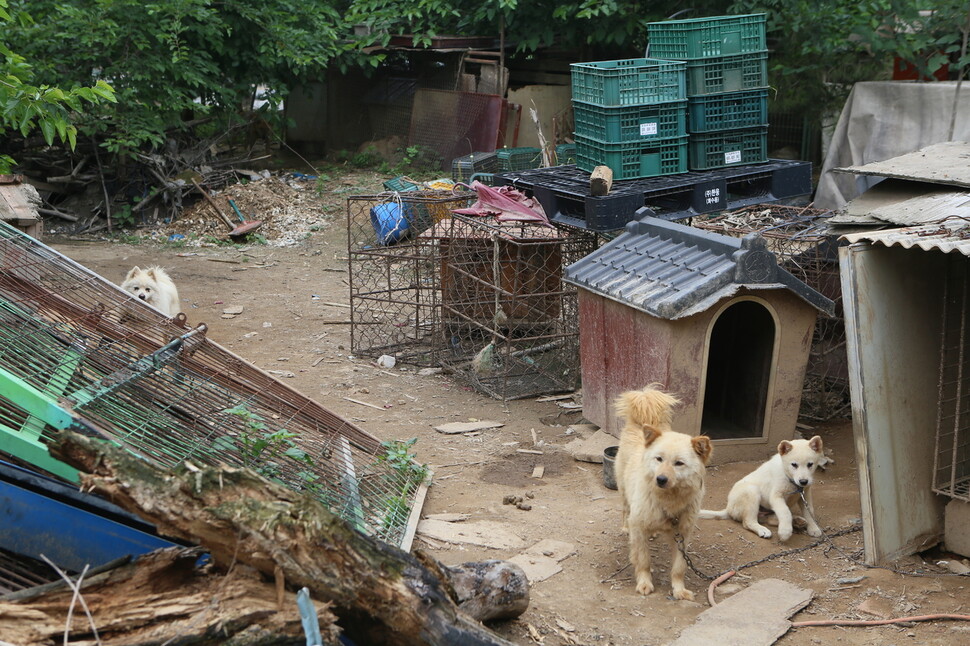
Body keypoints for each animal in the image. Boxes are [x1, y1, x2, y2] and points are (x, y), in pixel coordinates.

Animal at [612, 384, 712, 604]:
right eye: (659, 459)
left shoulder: (683, 534)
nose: (661, 479)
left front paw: (679, 590)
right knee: (624, 509)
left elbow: (679, 567)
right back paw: (624, 527)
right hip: (624, 492)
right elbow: (643, 560)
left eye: (679, 463)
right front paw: (644, 584)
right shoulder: (639, 528)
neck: (669, 501)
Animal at [696, 438, 824, 544]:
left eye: (810, 464)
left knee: (770, 519)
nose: (803, 481)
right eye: (794, 465)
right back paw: (763, 529)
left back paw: (797, 521)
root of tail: (729, 508)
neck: (790, 479)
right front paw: (785, 532)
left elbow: (809, 511)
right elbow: (785, 512)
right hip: (751, 492)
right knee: (748, 522)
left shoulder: (805, 494)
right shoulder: (776, 496)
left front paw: (813, 528)